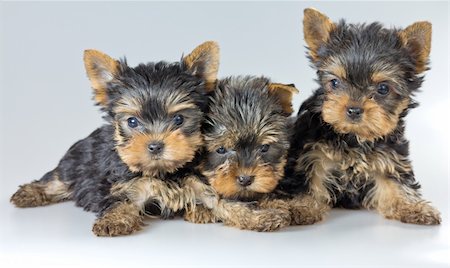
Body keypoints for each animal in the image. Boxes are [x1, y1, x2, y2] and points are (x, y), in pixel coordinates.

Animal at [10, 40, 221, 236]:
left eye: (179, 119)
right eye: (132, 121)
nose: (155, 146)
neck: (162, 172)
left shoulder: (194, 178)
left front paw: (202, 209)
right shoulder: (125, 185)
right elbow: (121, 200)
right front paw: (114, 220)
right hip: (74, 163)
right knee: (56, 179)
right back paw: (29, 193)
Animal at [280, 8, 442, 225]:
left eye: (383, 88)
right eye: (335, 83)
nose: (354, 109)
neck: (355, 136)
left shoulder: (389, 156)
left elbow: (396, 180)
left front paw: (412, 206)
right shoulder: (312, 154)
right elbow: (307, 179)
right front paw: (302, 207)